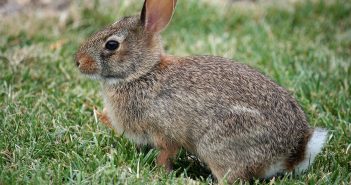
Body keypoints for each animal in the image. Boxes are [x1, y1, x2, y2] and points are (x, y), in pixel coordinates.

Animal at [75, 0, 330, 182]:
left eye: (112, 45)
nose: (77, 61)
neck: (142, 73)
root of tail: (293, 152)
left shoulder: (164, 131)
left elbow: (166, 153)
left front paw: (160, 173)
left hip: (219, 144)